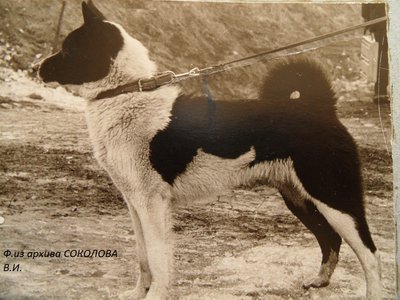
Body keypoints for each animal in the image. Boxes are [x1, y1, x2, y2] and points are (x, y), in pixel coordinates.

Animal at [39, 1, 382, 298]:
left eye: (68, 50)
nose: (38, 66)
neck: (125, 94)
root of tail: (321, 107)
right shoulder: (134, 202)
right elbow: (142, 257)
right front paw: (137, 293)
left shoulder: (152, 203)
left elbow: (158, 258)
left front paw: (155, 295)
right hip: (300, 199)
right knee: (331, 240)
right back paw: (319, 280)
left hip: (334, 198)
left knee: (369, 253)